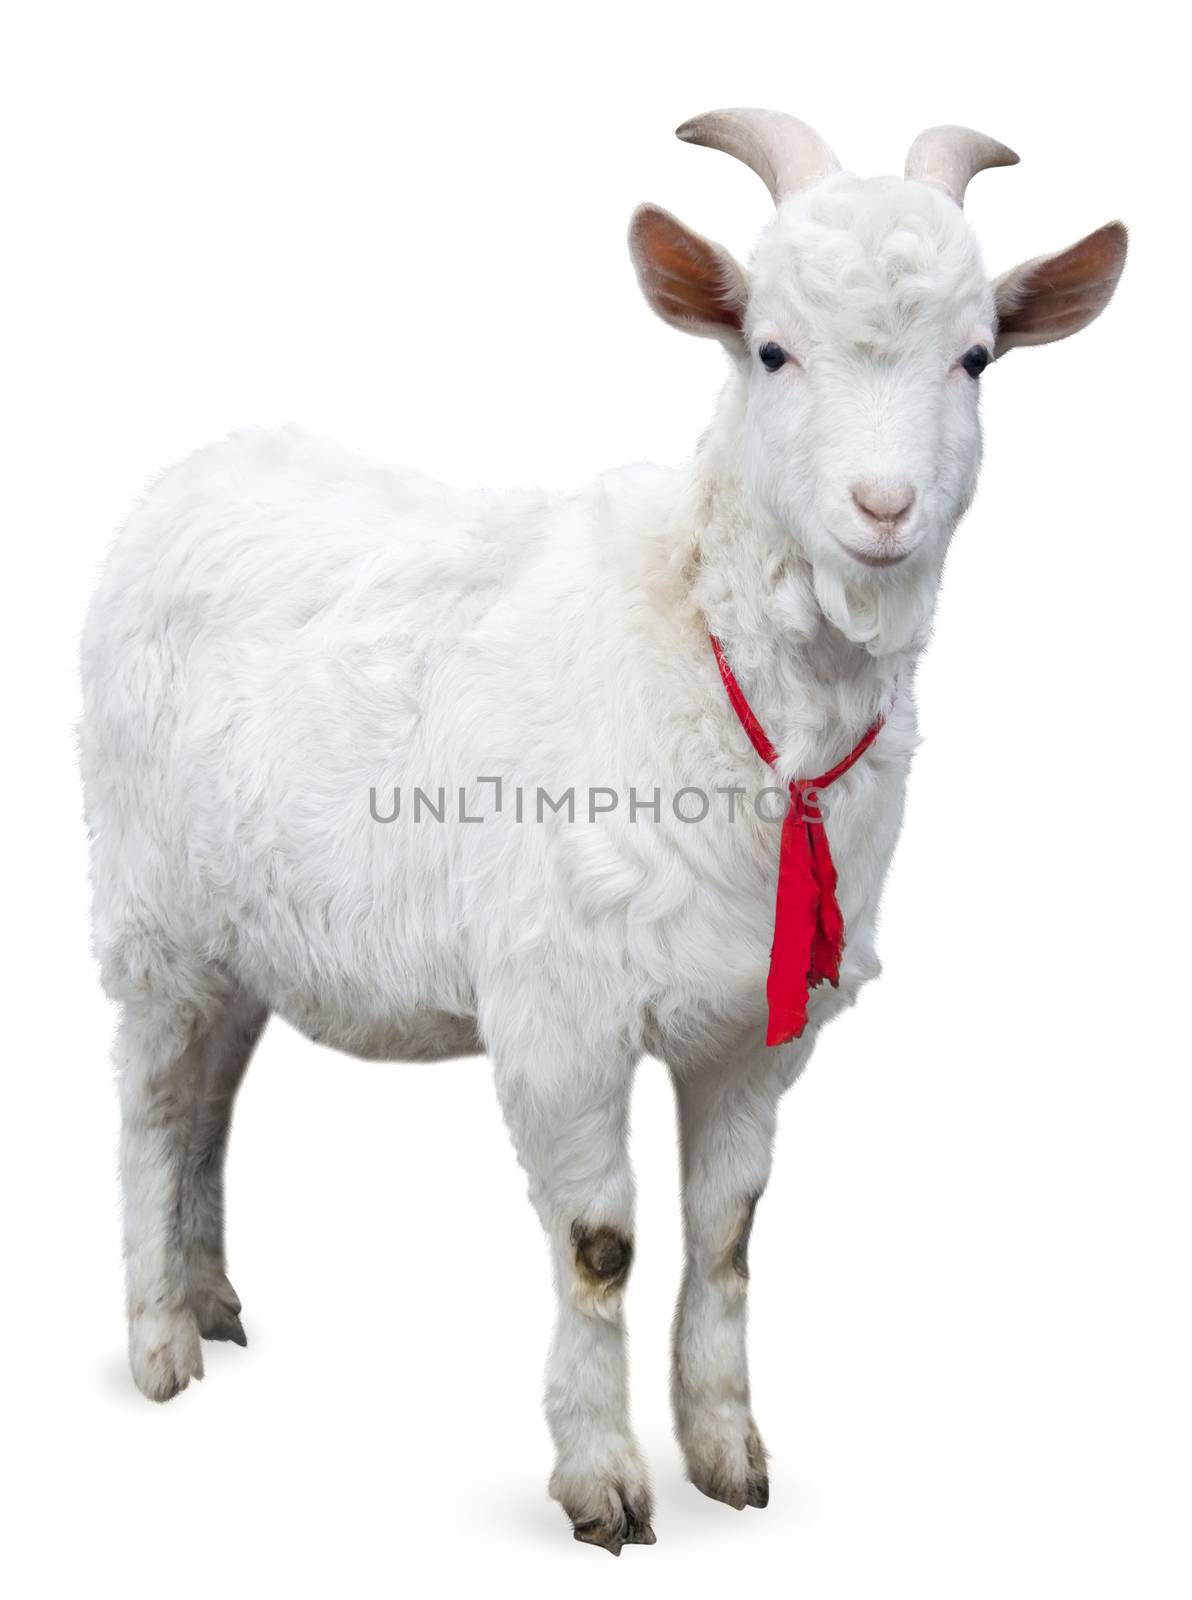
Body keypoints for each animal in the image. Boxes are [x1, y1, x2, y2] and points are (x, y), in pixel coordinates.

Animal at [79, 109, 1120, 1548]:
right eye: (769, 348)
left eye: (975, 356)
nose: (882, 508)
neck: (704, 654)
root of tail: (184, 480)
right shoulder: (560, 1015)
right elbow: (600, 1245)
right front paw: (605, 1483)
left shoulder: (757, 1028)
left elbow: (728, 1234)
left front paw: (729, 1451)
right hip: (156, 913)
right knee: (151, 1104)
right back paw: (161, 1340)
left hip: (245, 934)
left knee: (214, 1097)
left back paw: (216, 1297)